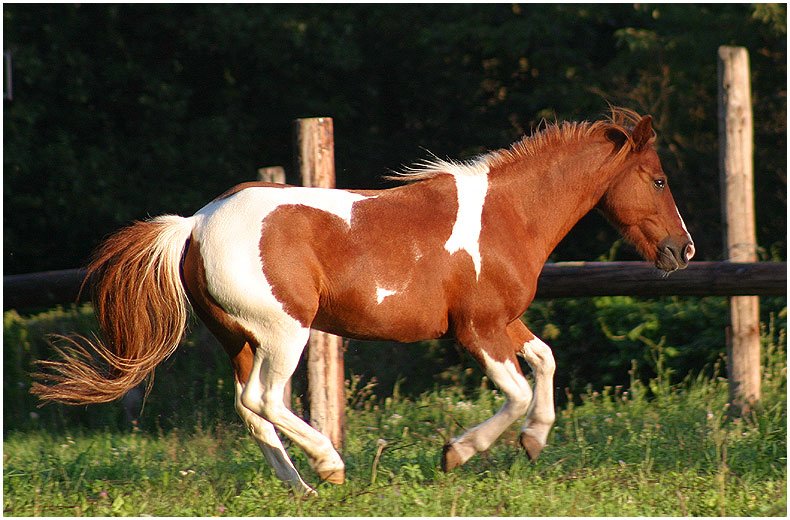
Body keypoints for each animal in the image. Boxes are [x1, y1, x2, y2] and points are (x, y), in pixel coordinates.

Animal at [34, 109, 696, 496]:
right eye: (659, 179)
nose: (682, 250)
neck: (508, 216)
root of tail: (195, 223)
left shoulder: (502, 321)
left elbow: (546, 361)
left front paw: (534, 441)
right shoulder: (476, 329)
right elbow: (516, 391)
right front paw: (456, 454)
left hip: (238, 338)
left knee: (252, 412)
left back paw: (301, 491)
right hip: (285, 332)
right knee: (265, 400)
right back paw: (330, 466)